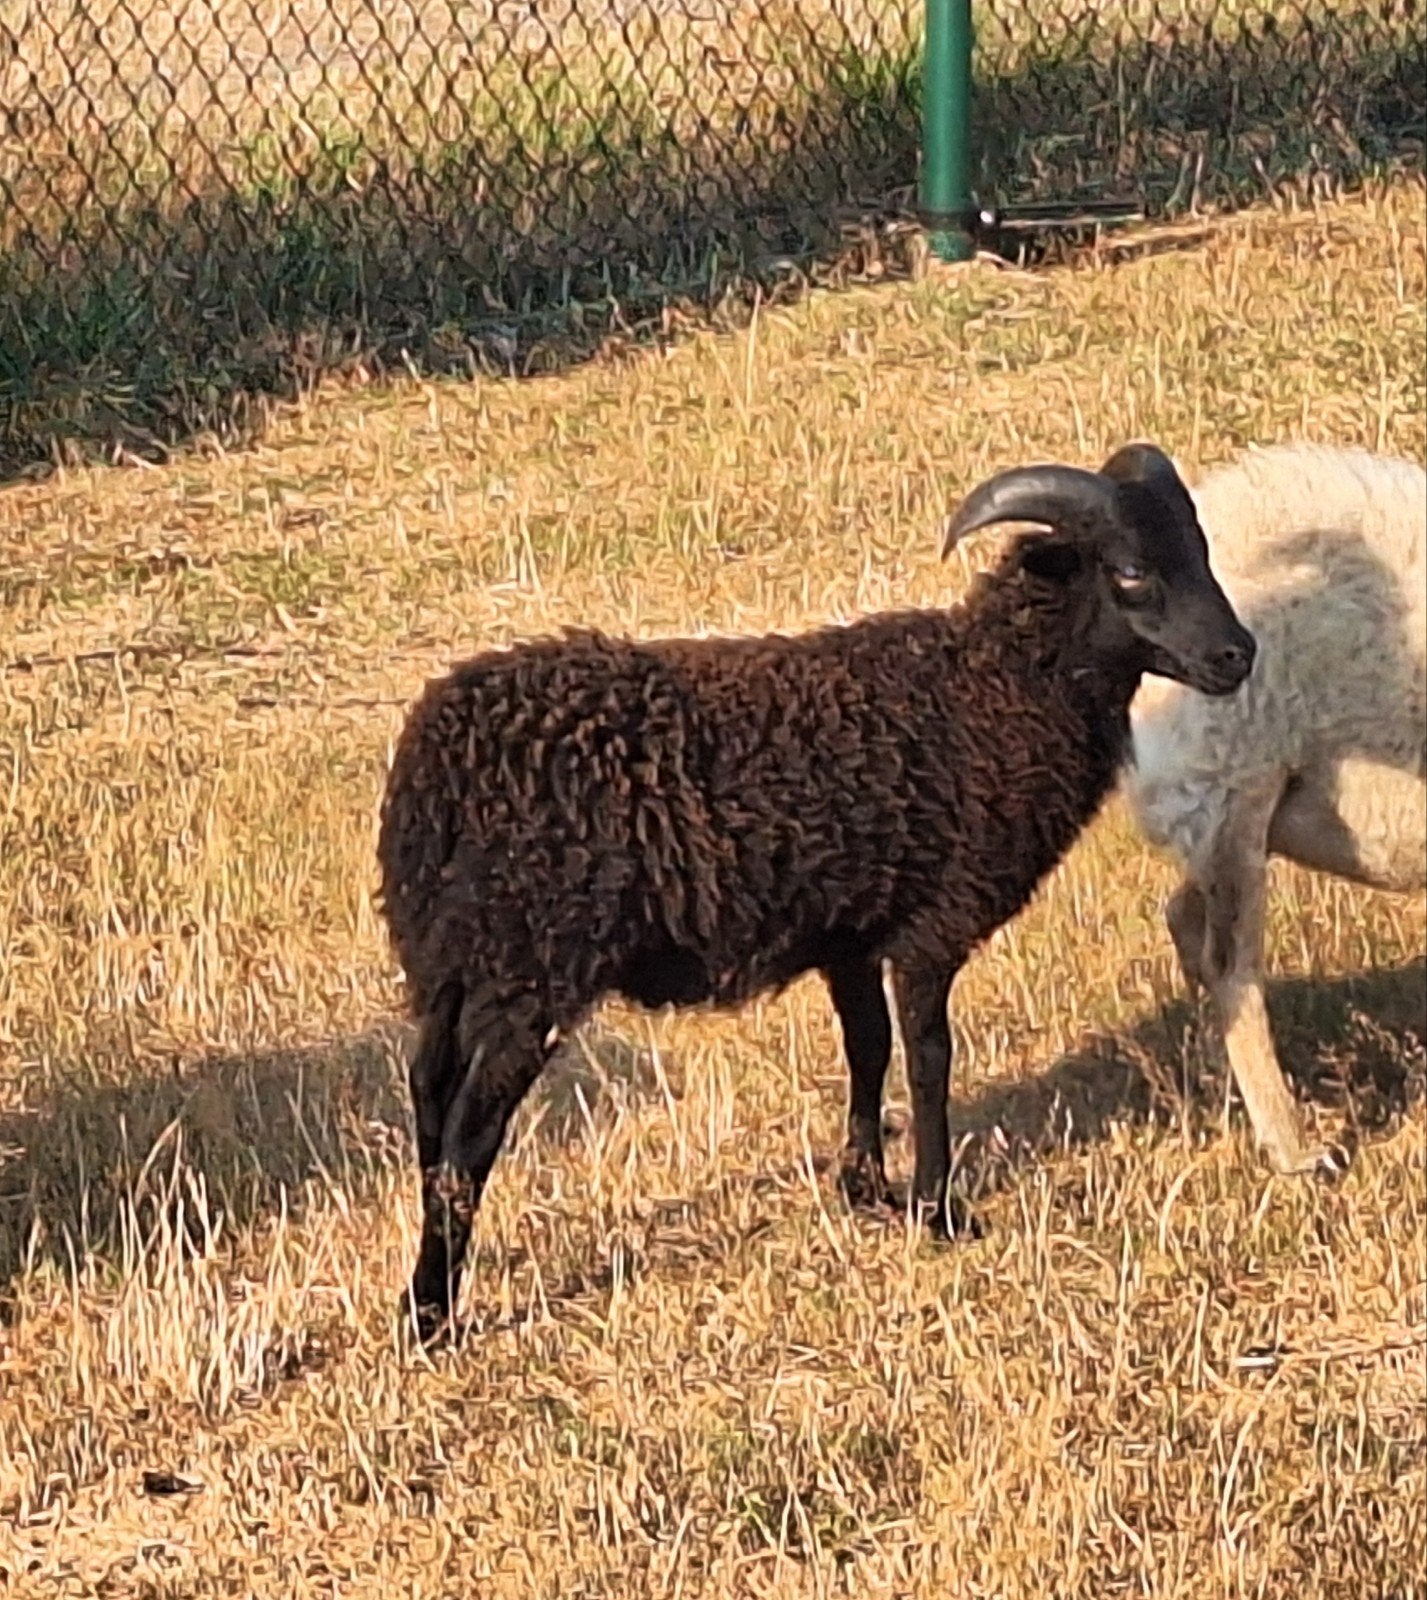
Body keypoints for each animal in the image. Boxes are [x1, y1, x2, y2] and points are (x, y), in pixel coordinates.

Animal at [377, 442, 1257, 1340]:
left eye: (1199, 550)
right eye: (1128, 572)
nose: (1237, 656)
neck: (992, 690)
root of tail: (436, 761)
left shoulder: (851, 935)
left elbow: (866, 1048)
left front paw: (867, 1188)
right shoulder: (930, 927)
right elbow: (929, 1060)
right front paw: (939, 1211)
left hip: (451, 967)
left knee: (429, 1102)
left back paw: (430, 1279)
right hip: (530, 970)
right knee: (469, 1137)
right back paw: (431, 1318)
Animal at [1123, 443, 1426, 1177]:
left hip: (1219, 804)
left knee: (1186, 921)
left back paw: (1215, 1087)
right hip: (1235, 783)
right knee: (1231, 964)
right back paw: (1292, 1148)